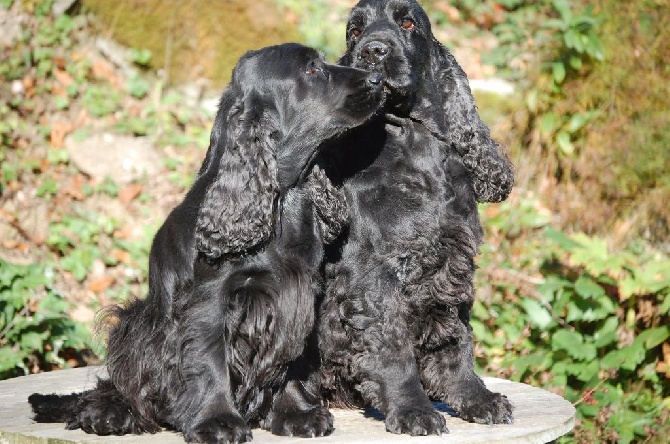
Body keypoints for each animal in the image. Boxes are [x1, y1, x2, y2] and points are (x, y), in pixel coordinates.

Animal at [30, 42, 384, 444]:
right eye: (311, 69)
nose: (377, 78)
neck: (279, 199)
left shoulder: (299, 296)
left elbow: (291, 358)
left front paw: (297, 413)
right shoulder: (208, 302)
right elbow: (209, 362)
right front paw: (218, 422)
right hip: (132, 324)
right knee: (119, 383)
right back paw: (108, 413)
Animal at [318, 0, 516, 438]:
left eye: (407, 22)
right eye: (354, 31)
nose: (372, 51)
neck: (414, 146)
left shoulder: (453, 264)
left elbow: (456, 341)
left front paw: (476, 398)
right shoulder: (376, 272)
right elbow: (393, 348)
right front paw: (413, 409)